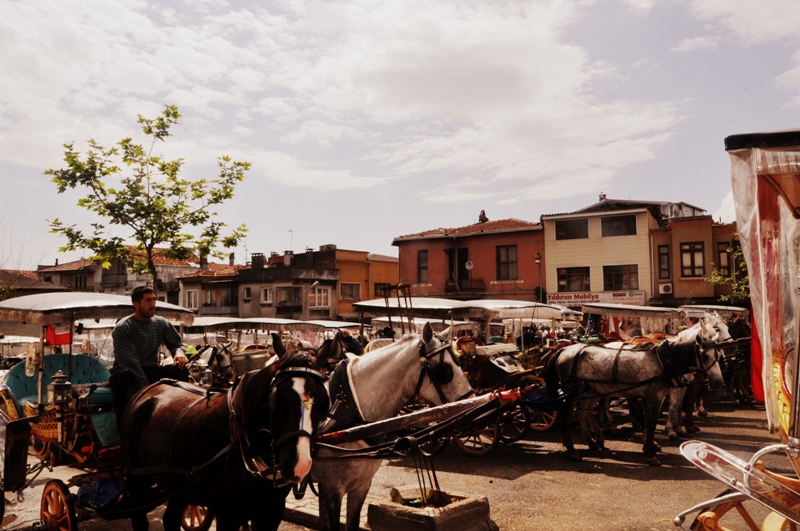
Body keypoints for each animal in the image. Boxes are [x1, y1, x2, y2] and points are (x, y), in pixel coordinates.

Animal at [122, 334, 338, 528]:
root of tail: (149, 388)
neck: (241, 437)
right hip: (137, 477)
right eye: (278, 398)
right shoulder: (228, 514)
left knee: (171, 519)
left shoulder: (272, 510)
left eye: (323, 401)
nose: (298, 465)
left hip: (178, 484)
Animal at [548, 312, 728, 466]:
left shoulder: (657, 396)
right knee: (567, 414)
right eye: (705, 355)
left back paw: (593, 440)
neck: (665, 361)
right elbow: (653, 421)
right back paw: (574, 449)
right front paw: (652, 453)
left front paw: (650, 445)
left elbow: (652, 419)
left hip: (591, 389)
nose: (719, 382)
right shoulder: (655, 397)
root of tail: (564, 349)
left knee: (583, 411)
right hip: (574, 390)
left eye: (717, 354)